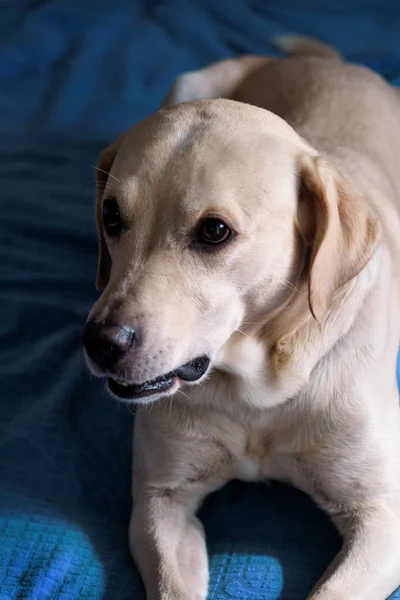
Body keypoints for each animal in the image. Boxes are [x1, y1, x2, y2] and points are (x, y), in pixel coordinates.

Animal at [83, 37, 400, 600]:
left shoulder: (382, 518)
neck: (258, 388)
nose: (101, 343)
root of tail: (331, 60)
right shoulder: (160, 501)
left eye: (214, 231)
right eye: (111, 216)